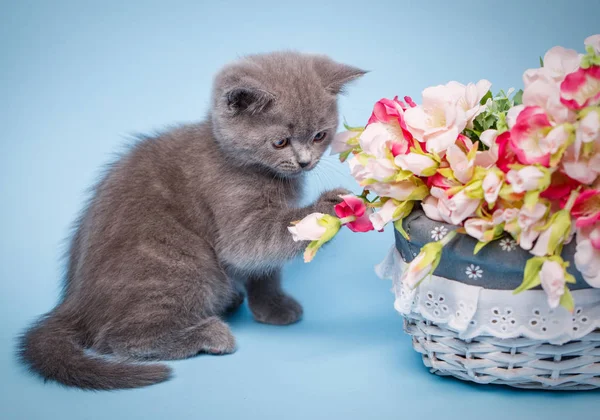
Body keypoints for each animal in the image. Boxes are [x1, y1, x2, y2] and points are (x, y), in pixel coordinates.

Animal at [18, 51, 366, 390]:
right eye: (280, 142)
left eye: (320, 135)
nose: (305, 162)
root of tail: (72, 303)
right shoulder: (236, 215)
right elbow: (256, 245)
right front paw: (331, 207)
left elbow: (266, 269)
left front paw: (273, 306)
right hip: (184, 267)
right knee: (118, 339)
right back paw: (208, 334)